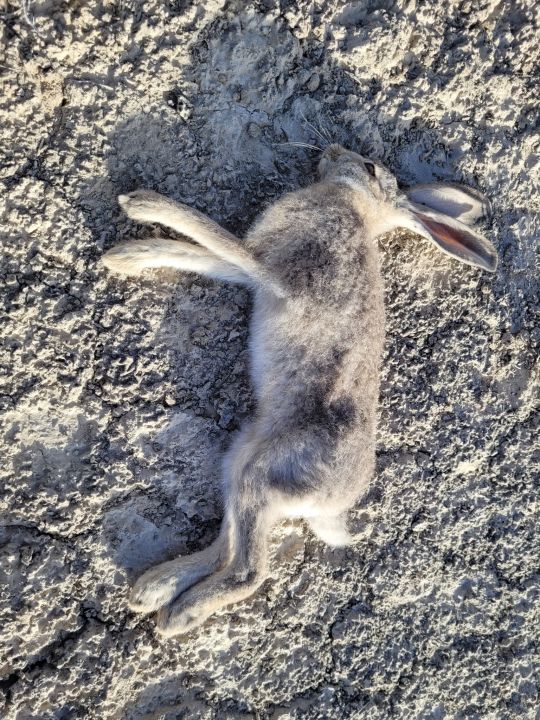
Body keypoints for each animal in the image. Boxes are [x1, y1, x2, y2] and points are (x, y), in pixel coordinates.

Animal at [102, 143, 497, 637]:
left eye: (368, 168)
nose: (332, 149)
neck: (358, 210)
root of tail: (332, 507)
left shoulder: (270, 267)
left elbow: (209, 234)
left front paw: (142, 206)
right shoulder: (253, 269)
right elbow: (199, 253)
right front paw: (127, 256)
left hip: (262, 476)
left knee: (248, 569)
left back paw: (177, 615)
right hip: (239, 464)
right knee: (227, 547)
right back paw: (154, 588)